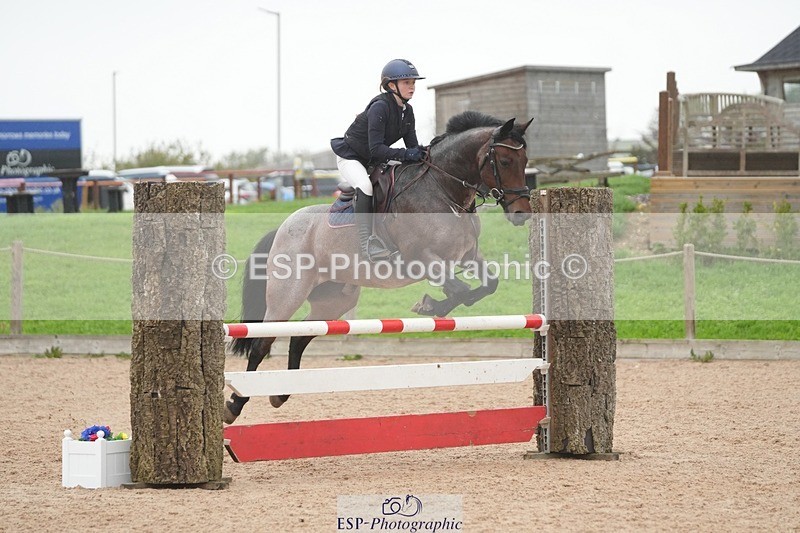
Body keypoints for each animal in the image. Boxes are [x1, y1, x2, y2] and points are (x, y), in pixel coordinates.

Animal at [224, 111, 534, 424]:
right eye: (505, 161)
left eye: (525, 161)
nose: (522, 214)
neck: (442, 190)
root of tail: (282, 228)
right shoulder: (424, 259)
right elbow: (460, 290)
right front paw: (429, 304)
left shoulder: (467, 257)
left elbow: (486, 286)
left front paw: (433, 305)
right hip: (287, 295)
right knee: (262, 342)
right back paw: (235, 405)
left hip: (333, 300)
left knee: (300, 337)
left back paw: (281, 393)